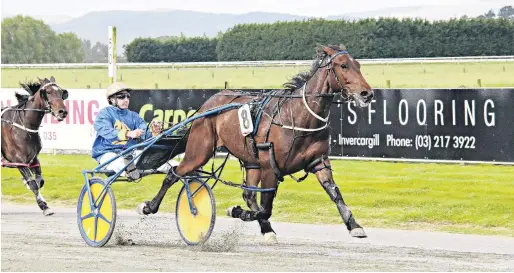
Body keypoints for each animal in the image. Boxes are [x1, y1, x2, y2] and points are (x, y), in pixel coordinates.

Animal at [1, 76, 68, 215]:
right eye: (47, 92)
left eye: (61, 92)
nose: (62, 112)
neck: (24, 126)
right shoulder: (19, 161)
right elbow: (33, 184)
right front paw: (44, 207)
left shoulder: (33, 159)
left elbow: (39, 181)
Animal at [138, 44, 374, 240]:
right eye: (343, 65)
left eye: (358, 65)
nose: (367, 94)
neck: (298, 116)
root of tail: (207, 105)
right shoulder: (270, 166)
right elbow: (266, 207)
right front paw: (236, 211)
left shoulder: (319, 162)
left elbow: (335, 193)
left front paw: (354, 225)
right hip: (200, 151)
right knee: (173, 173)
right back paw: (149, 206)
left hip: (250, 161)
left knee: (248, 193)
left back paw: (264, 227)